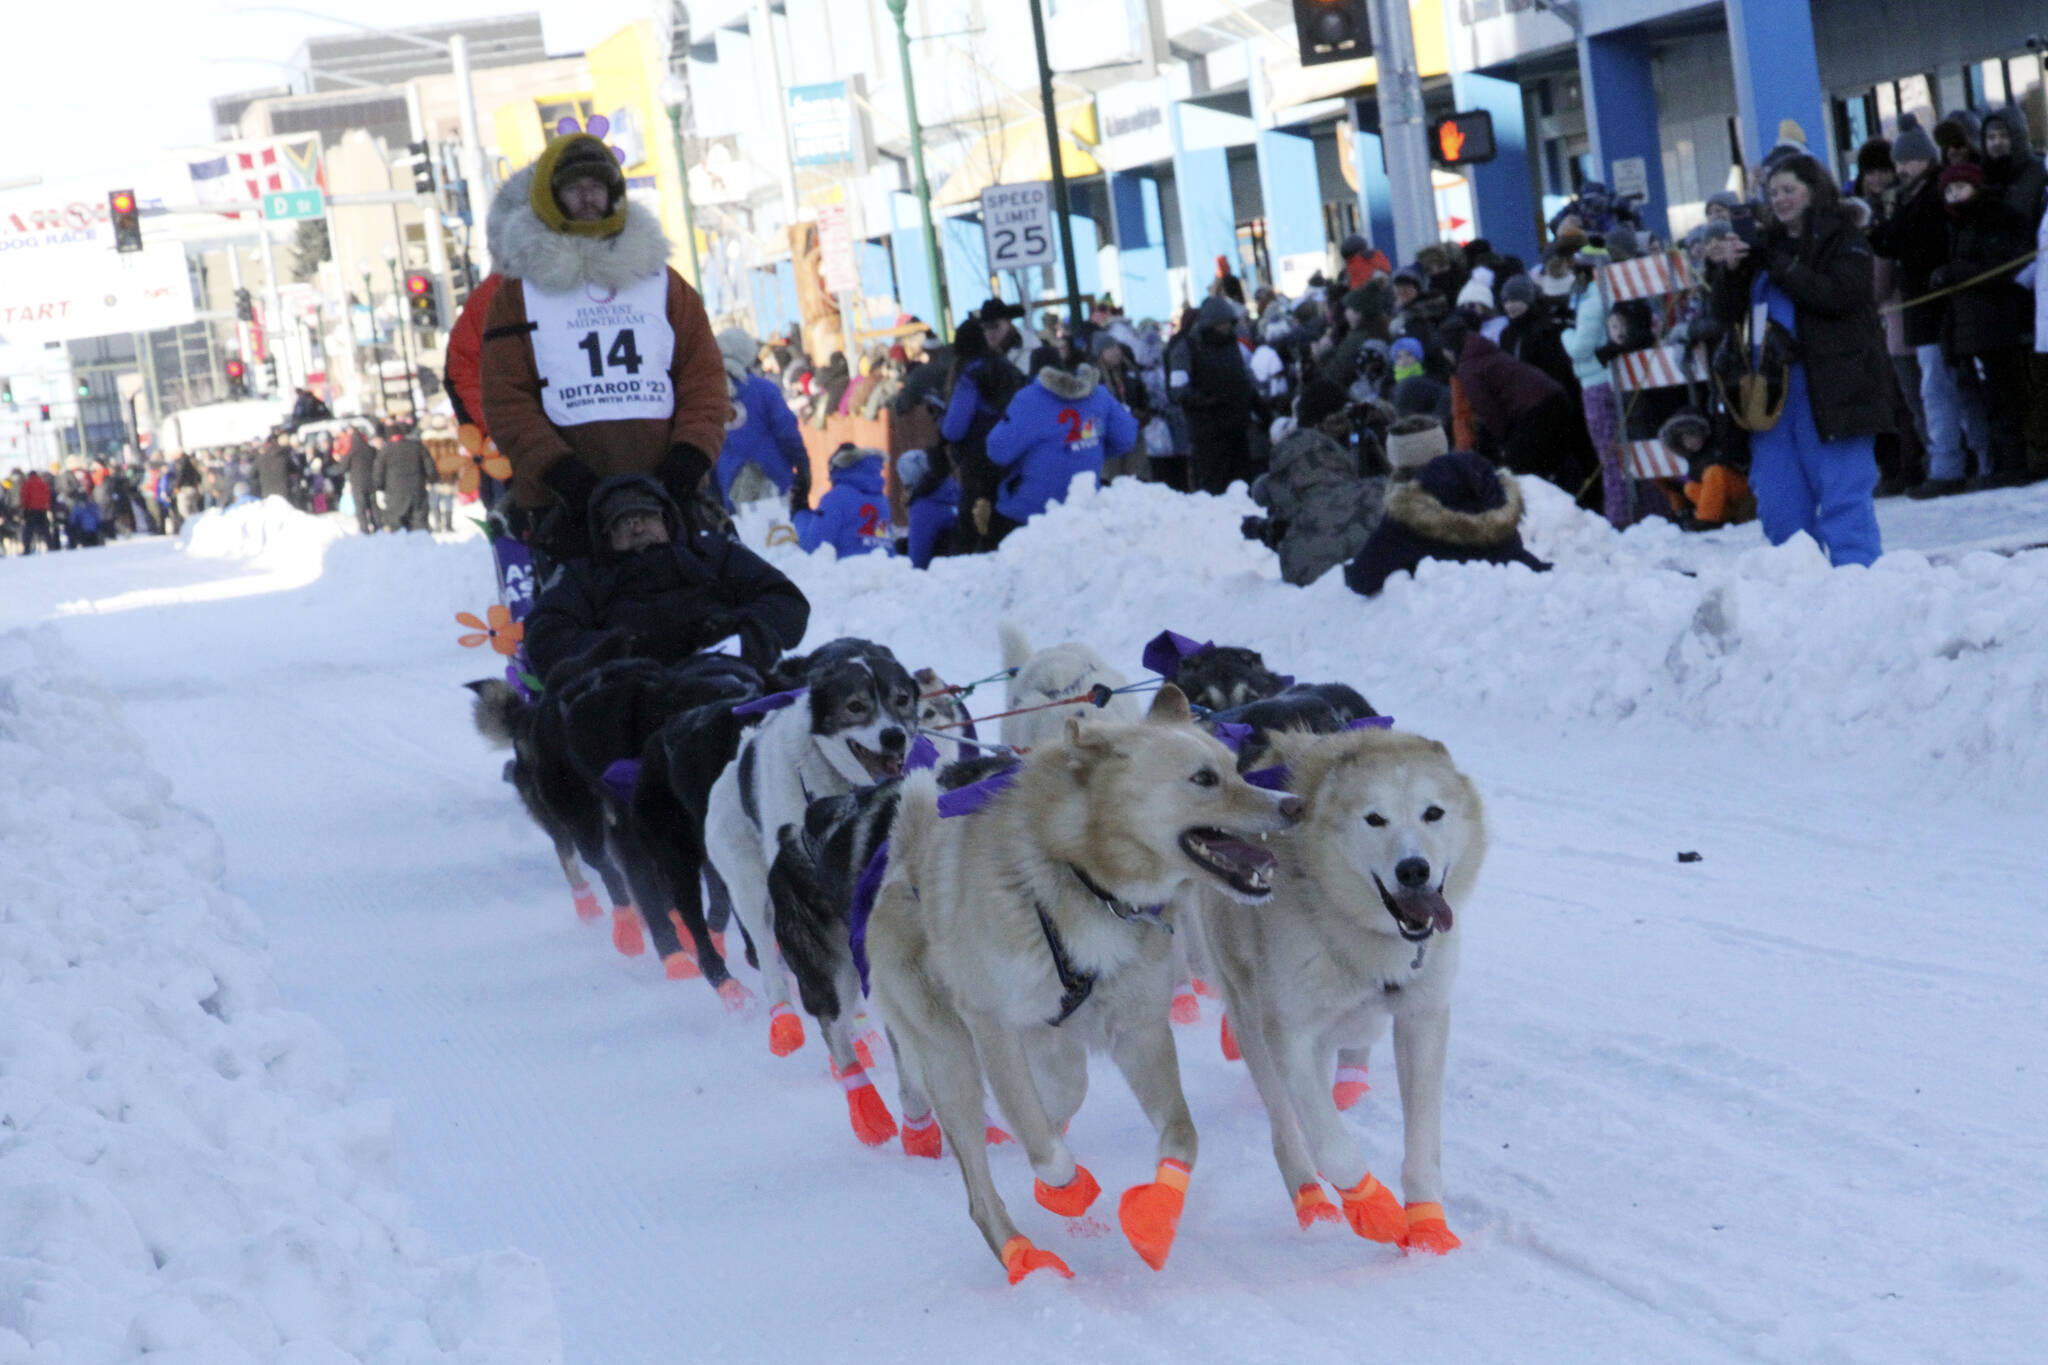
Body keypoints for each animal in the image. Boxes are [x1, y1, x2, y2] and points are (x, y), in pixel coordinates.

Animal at [708, 638, 925, 1055]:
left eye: (902, 699)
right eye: (855, 706)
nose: (893, 735)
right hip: (752, 892)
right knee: (769, 959)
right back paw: (784, 1018)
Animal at [860, 687, 1294, 1285]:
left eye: (1234, 767)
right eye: (1204, 778)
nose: (1292, 803)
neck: (1087, 882)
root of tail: (901, 867)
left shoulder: (1140, 1033)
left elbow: (1182, 1137)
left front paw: (1153, 1219)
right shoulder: (991, 1024)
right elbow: (1048, 1152)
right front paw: (1067, 1190)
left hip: (1057, 1057)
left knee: (1060, 1099)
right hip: (952, 1062)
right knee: (983, 1189)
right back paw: (1021, 1256)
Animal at [1187, 724, 1490, 1260]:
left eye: (1433, 813)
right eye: (1375, 819)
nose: (1414, 869)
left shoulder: (1423, 1020)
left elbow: (1423, 1142)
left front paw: (1427, 1225)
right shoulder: (1289, 1035)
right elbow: (1332, 1147)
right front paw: (1374, 1208)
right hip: (1253, 1027)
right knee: (1287, 1129)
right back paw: (1312, 1202)